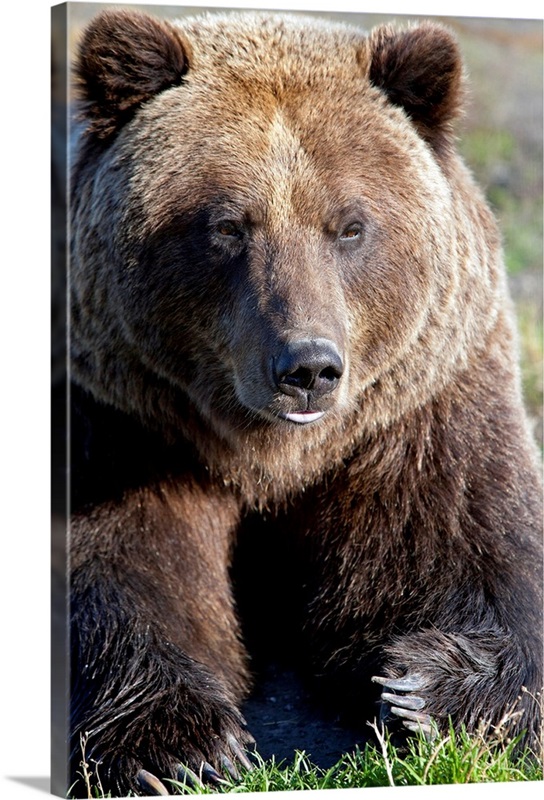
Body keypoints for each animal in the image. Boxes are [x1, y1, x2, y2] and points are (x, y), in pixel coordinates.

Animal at [68, 7, 544, 800]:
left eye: (350, 225)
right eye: (228, 225)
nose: (309, 368)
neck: (270, 452)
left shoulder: (420, 411)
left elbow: (478, 551)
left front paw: (424, 690)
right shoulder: (124, 415)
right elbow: (114, 564)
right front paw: (181, 746)